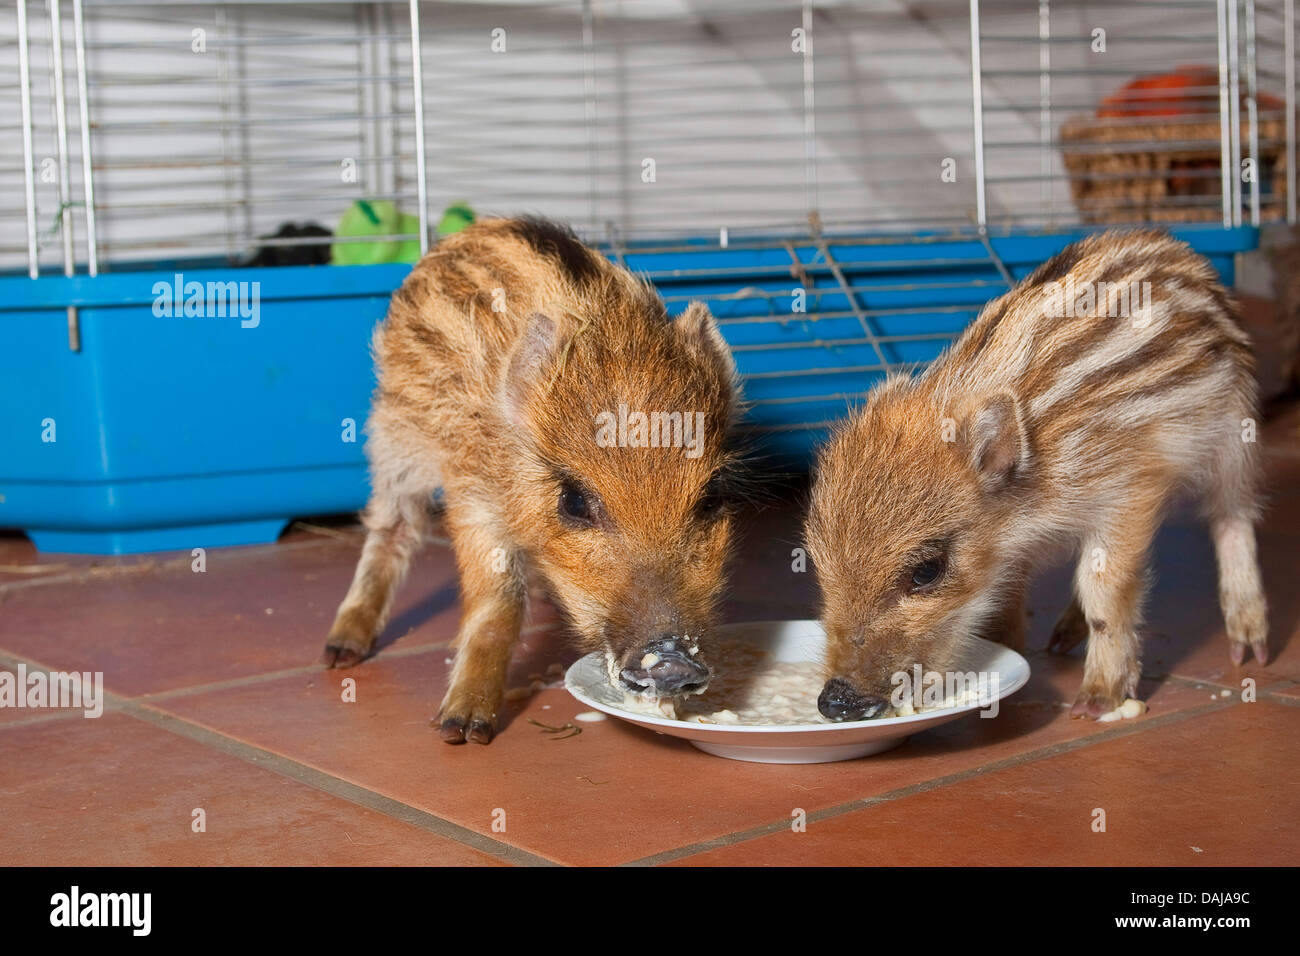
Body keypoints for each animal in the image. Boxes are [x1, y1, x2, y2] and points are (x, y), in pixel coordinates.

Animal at [321, 217, 743, 743]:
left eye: (711, 498)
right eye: (574, 501)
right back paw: (339, 651)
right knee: (393, 528)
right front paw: (463, 730)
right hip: (394, 435)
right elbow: (497, 600)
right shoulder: (473, 492)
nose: (672, 662)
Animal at [805, 229, 1268, 721]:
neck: (1028, 513)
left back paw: (1248, 645)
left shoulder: (1128, 489)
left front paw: (1097, 700)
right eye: (816, 564)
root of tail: (1177, 250)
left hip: (1236, 435)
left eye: (927, 570)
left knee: (1232, 516)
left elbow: (1106, 589)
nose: (835, 702)